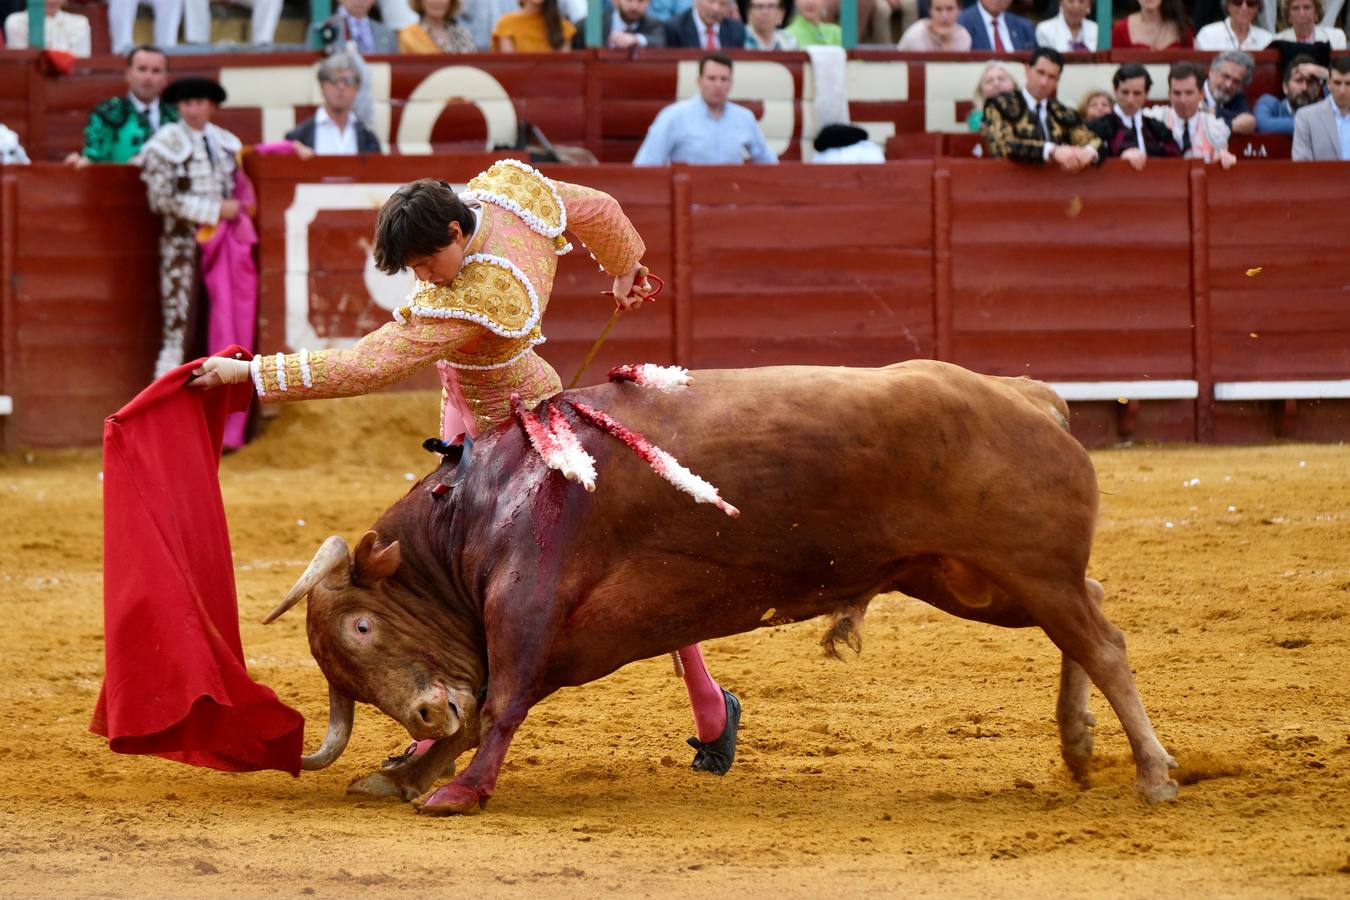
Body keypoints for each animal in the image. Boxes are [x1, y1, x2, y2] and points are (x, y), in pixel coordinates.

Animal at [265, 361, 1182, 814]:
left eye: (361, 629)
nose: (419, 714)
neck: (472, 509)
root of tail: (1029, 396)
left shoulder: (528, 609)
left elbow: (498, 705)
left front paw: (452, 792)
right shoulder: (540, 638)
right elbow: (487, 702)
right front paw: (403, 775)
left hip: (1022, 568)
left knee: (1103, 641)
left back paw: (1154, 774)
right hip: (977, 581)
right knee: (1092, 611)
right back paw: (1079, 746)